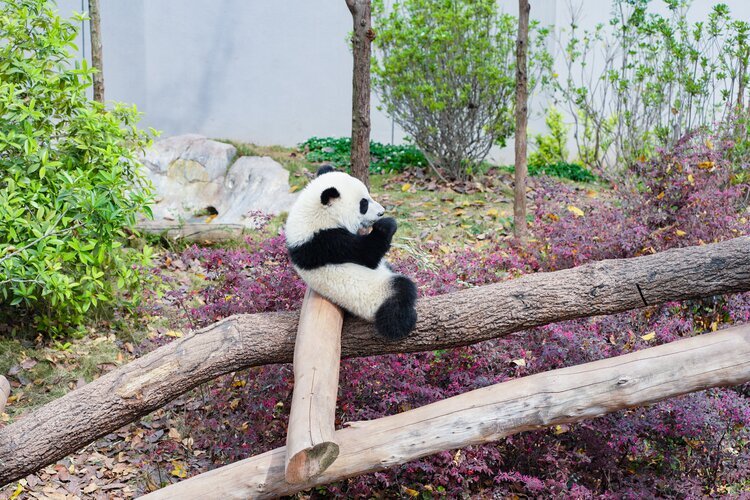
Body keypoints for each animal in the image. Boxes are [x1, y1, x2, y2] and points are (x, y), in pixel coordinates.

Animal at [285, 166, 417, 340]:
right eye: (364, 204)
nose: (381, 212)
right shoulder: (326, 242)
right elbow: (368, 255)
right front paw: (386, 225)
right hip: (374, 294)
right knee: (400, 294)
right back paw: (400, 324)